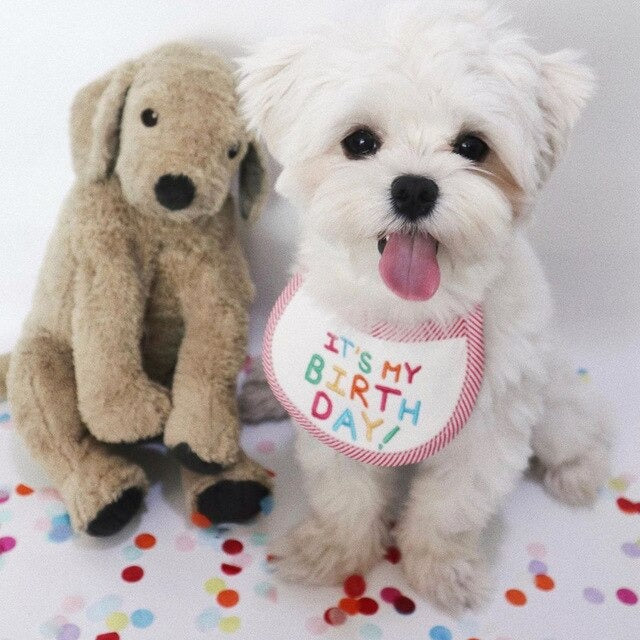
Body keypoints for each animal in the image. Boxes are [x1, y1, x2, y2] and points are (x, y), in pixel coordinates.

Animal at [239, 1, 608, 616]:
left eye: (473, 146)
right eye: (360, 141)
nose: (414, 188)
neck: (406, 317)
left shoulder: (486, 434)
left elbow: (449, 510)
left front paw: (440, 570)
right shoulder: (334, 419)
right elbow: (345, 494)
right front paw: (332, 552)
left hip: (548, 394)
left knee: (575, 427)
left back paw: (578, 471)